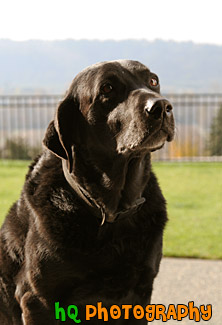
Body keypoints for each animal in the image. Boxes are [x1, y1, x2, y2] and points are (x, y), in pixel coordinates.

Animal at [0, 60, 174, 322]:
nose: (162, 107)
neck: (112, 211)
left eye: (153, 80)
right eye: (107, 88)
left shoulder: (141, 291)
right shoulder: (36, 299)